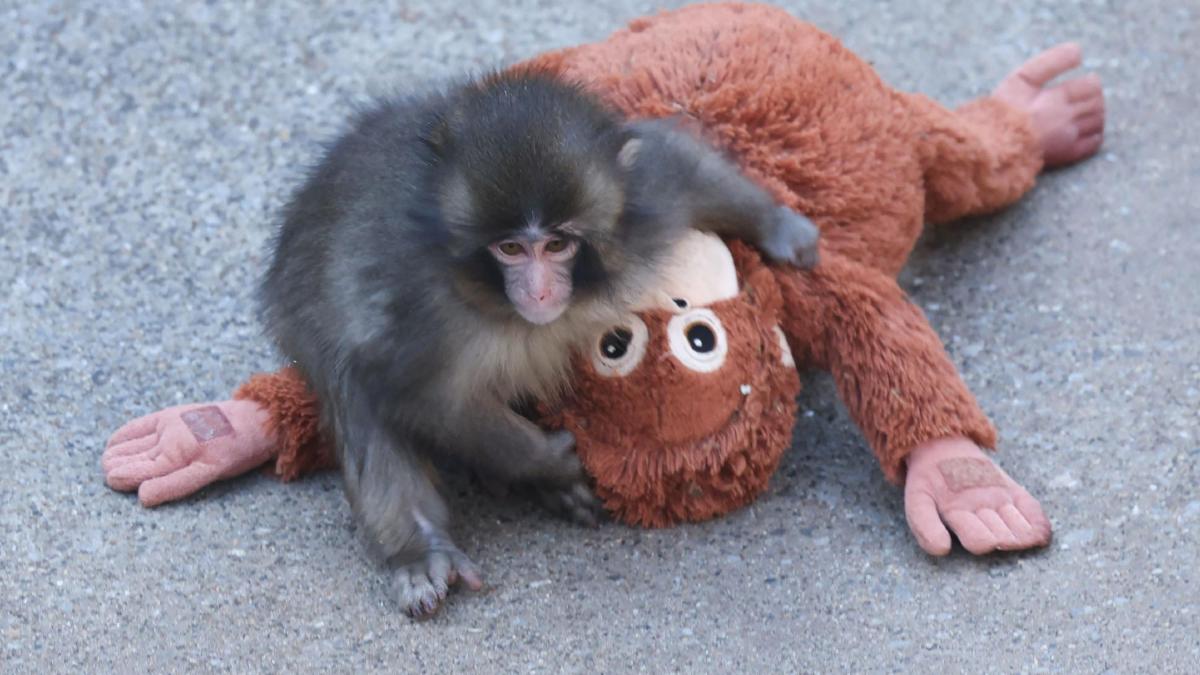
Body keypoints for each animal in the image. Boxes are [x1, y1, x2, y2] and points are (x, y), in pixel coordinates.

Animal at [258, 70, 819, 617]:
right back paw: (421, 548)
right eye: (509, 248)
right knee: (353, 389)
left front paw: (781, 227)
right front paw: (550, 462)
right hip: (301, 315)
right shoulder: (417, 311)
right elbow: (423, 397)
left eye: (556, 244)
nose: (540, 291)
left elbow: (677, 163)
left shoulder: (641, 205)